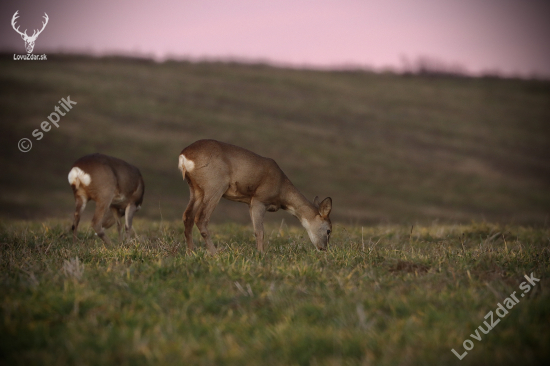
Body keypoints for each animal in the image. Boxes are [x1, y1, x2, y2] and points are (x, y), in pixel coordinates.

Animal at [180, 140, 332, 254]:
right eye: (329, 230)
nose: (323, 249)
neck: (282, 189)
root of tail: (184, 156)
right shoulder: (259, 200)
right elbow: (260, 231)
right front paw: (261, 254)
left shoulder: (250, 203)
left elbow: (255, 230)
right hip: (215, 186)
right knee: (201, 218)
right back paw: (215, 253)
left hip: (196, 189)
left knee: (187, 217)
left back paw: (191, 252)